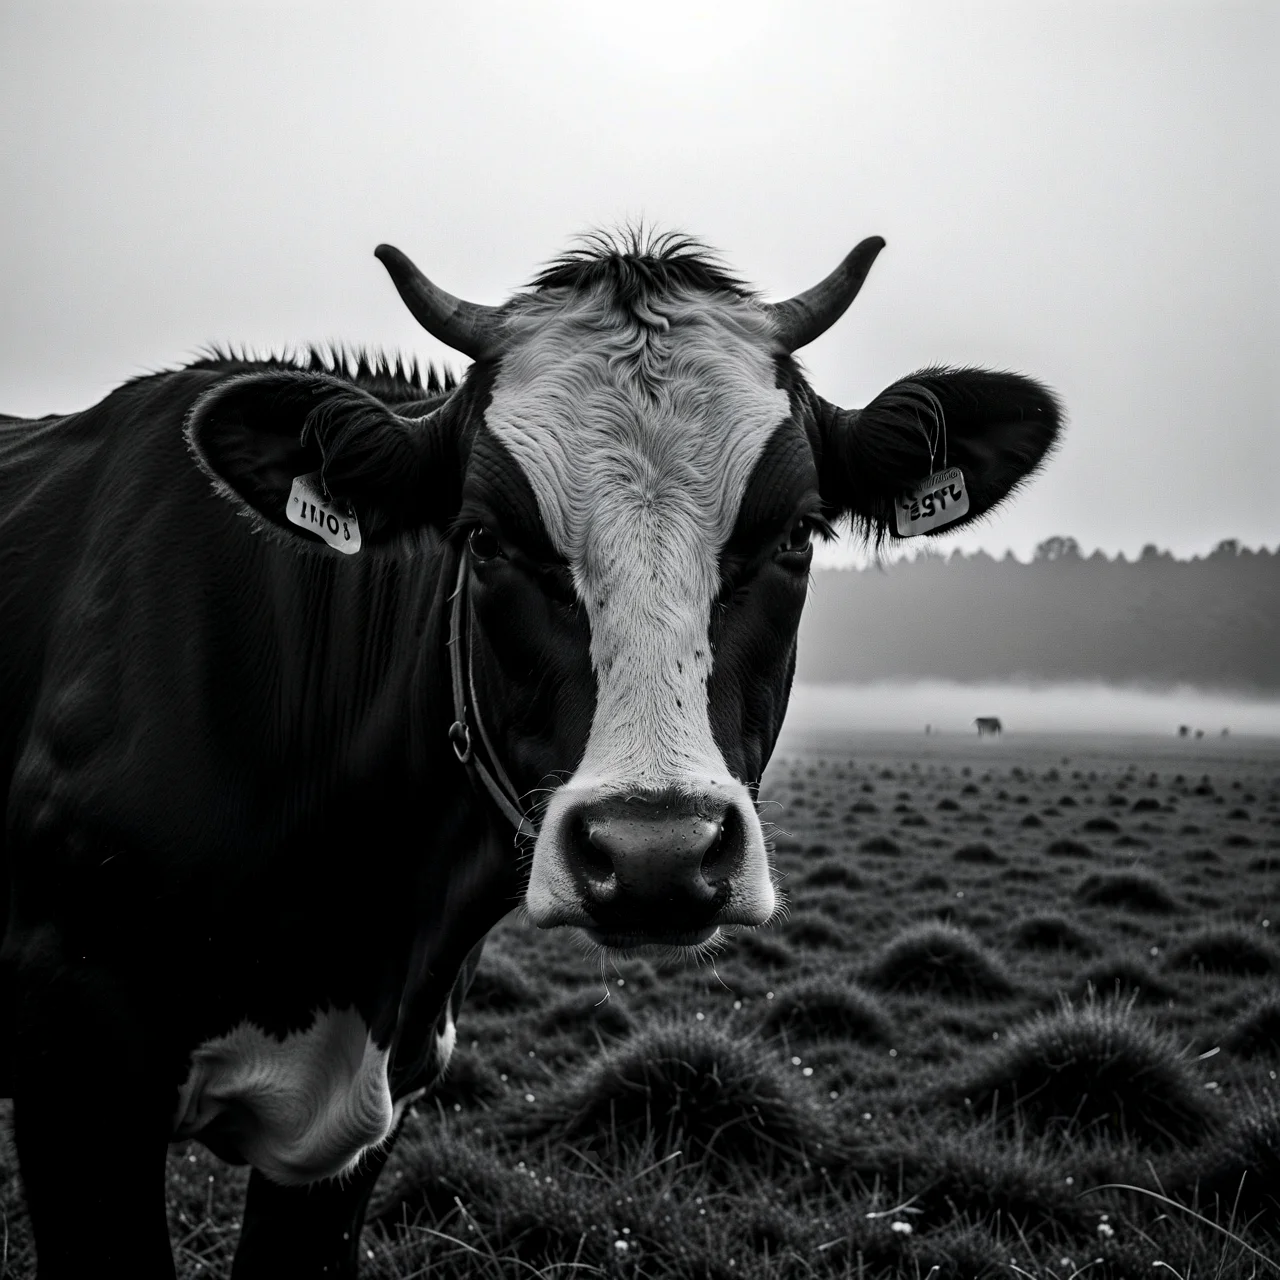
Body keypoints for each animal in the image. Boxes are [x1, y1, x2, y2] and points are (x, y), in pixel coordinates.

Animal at [0, 228, 1060, 1276]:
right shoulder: (77, 1074)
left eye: (798, 534)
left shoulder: (359, 1119)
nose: (654, 855)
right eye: (484, 538)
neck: (361, 919)